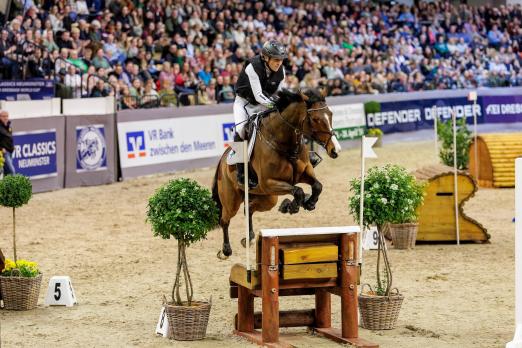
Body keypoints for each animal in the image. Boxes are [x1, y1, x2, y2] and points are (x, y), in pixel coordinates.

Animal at [209, 88, 340, 260]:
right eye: (315, 119)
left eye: (330, 114)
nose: (335, 150)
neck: (284, 142)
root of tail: (222, 160)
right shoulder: (269, 183)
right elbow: (298, 190)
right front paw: (292, 206)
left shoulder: (304, 173)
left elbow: (317, 186)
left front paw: (307, 203)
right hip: (233, 200)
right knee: (225, 220)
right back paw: (225, 250)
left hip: (268, 198)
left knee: (248, 209)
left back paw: (249, 238)